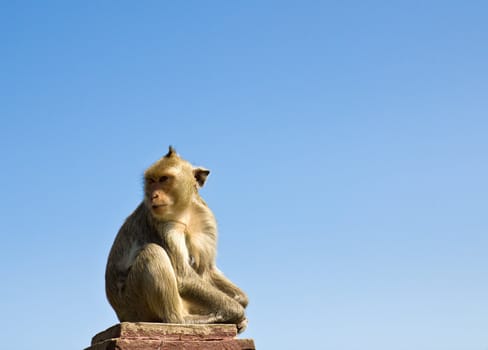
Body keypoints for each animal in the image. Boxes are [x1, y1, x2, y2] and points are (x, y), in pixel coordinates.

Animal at [103, 146, 248, 332]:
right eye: (151, 181)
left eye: (164, 179)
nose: (153, 196)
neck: (184, 210)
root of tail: (121, 315)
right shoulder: (163, 225)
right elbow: (183, 275)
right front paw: (236, 312)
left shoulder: (206, 218)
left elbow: (206, 270)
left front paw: (240, 300)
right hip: (134, 304)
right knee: (153, 252)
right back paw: (182, 320)